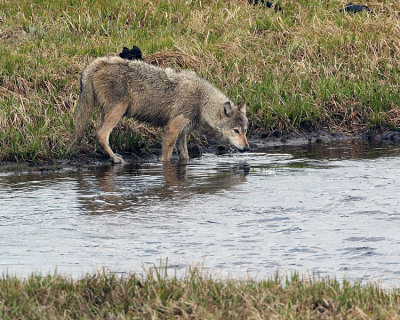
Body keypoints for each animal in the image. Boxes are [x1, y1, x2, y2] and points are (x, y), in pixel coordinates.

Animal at [74, 55, 248, 164]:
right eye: (236, 131)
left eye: (245, 131)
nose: (247, 148)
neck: (202, 102)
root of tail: (99, 62)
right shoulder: (172, 129)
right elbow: (166, 158)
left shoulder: (182, 133)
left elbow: (185, 157)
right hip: (118, 111)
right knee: (101, 135)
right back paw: (116, 159)